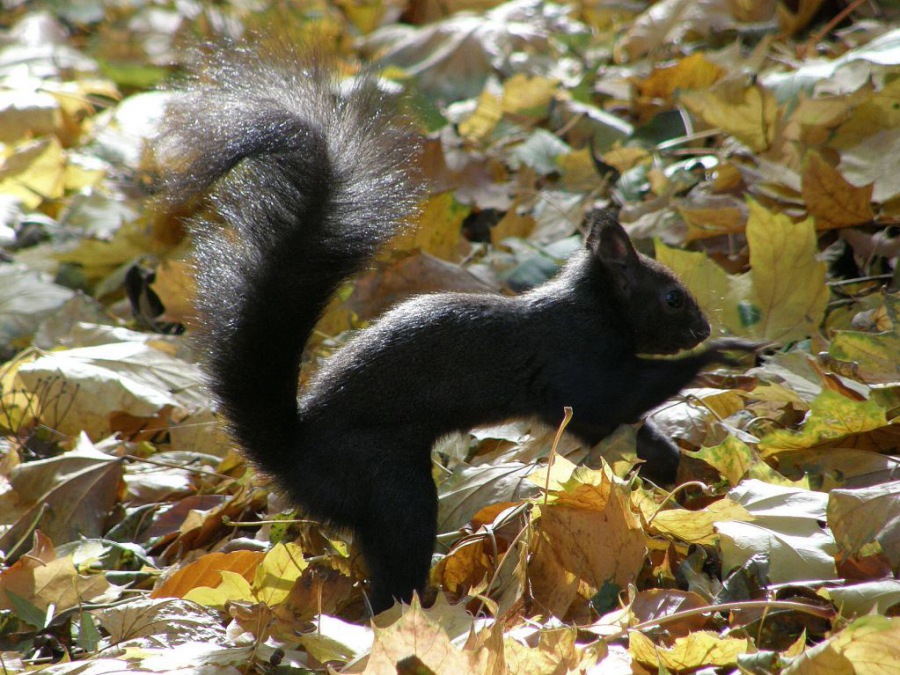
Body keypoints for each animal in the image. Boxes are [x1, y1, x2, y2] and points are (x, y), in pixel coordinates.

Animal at [159, 42, 758, 614]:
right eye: (672, 299)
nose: (703, 327)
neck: (593, 308)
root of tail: (292, 455)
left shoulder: (577, 401)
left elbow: (621, 421)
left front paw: (671, 462)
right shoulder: (576, 362)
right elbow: (617, 398)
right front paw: (725, 352)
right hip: (389, 486)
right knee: (394, 566)